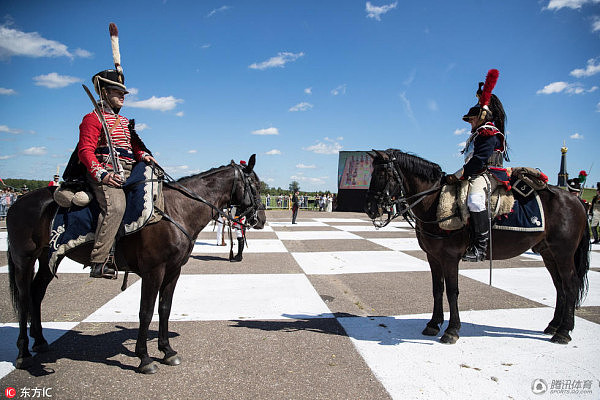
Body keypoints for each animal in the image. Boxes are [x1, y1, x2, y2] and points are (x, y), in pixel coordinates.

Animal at [7, 155, 264, 374]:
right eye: (255, 185)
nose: (260, 219)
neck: (177, 210)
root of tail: (17, 203)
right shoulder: (153, 271)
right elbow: (146, 311)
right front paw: (144, 358)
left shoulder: (173, 271)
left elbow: (164, 308)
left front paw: (167, 351)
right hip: (24, 259)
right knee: (24, 298)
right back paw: (23, 354)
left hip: (48, 259)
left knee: (36, 293)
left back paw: (40, 342)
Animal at [366, 149, 592, 344]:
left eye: (384, 172)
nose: (370, 209)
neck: (435, 202)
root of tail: (576, 201)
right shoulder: (433, 257)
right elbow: (437, 289)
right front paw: (433, 324)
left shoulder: (449, 258)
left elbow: (452, 291)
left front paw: (451, 330)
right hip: (549, 254)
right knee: (560, 286)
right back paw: (554, 326)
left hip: (563, 254)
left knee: (570, 285)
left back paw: (563, 332)